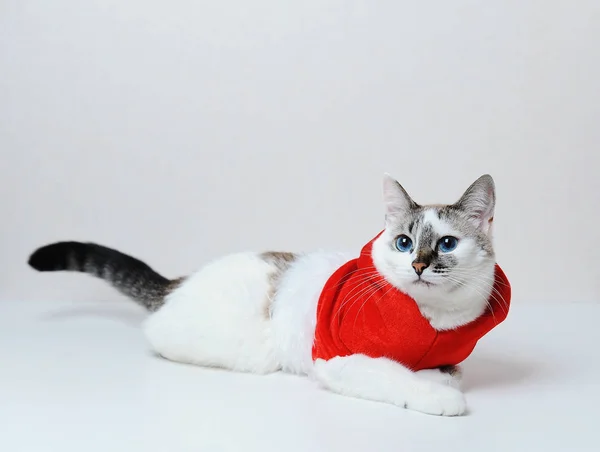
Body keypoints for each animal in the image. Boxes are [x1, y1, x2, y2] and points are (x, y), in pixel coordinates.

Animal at [29, 174, 510, 416]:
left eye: (446, 243)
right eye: (404, 243)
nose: (418, 265)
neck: (430, 321)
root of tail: (181, 281)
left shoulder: (448, 355)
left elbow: (444, 371)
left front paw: (434, 377)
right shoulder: (338, 358)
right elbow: (395, 376)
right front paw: (438, 396)